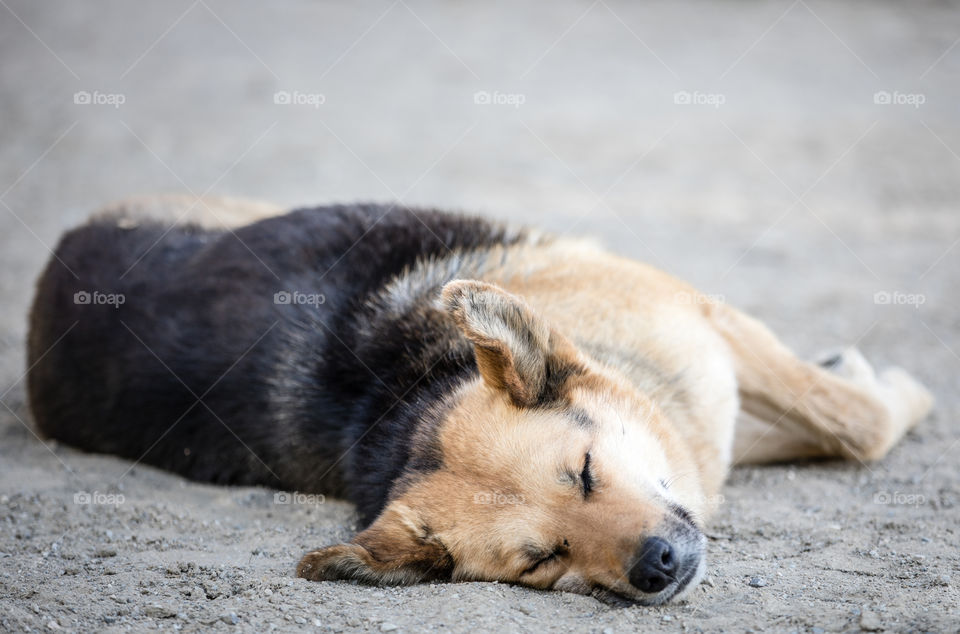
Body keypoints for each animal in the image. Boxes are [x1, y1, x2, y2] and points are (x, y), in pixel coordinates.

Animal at [26, 195, 932, 604]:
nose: (658, 568)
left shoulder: (710, 327)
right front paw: (888, 386)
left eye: (586, 471)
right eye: (544, 559)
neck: (411, 392)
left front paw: (886, 383)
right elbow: (849, 424)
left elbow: (847, 418)